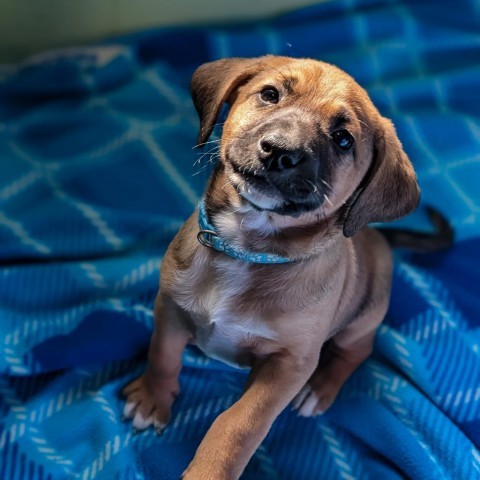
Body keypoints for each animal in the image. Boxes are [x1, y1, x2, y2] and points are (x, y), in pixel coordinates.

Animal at [121, 57, 442, 480]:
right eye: (270, 94)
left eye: (343, 139)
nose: (279, 152)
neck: (245, 249)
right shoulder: (171, 307)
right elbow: (162, 354)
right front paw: (151, 398)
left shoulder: (289, 365)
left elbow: (238, 423)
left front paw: (209, 470)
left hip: (362, 318)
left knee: (357, 350)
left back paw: (320, 389)